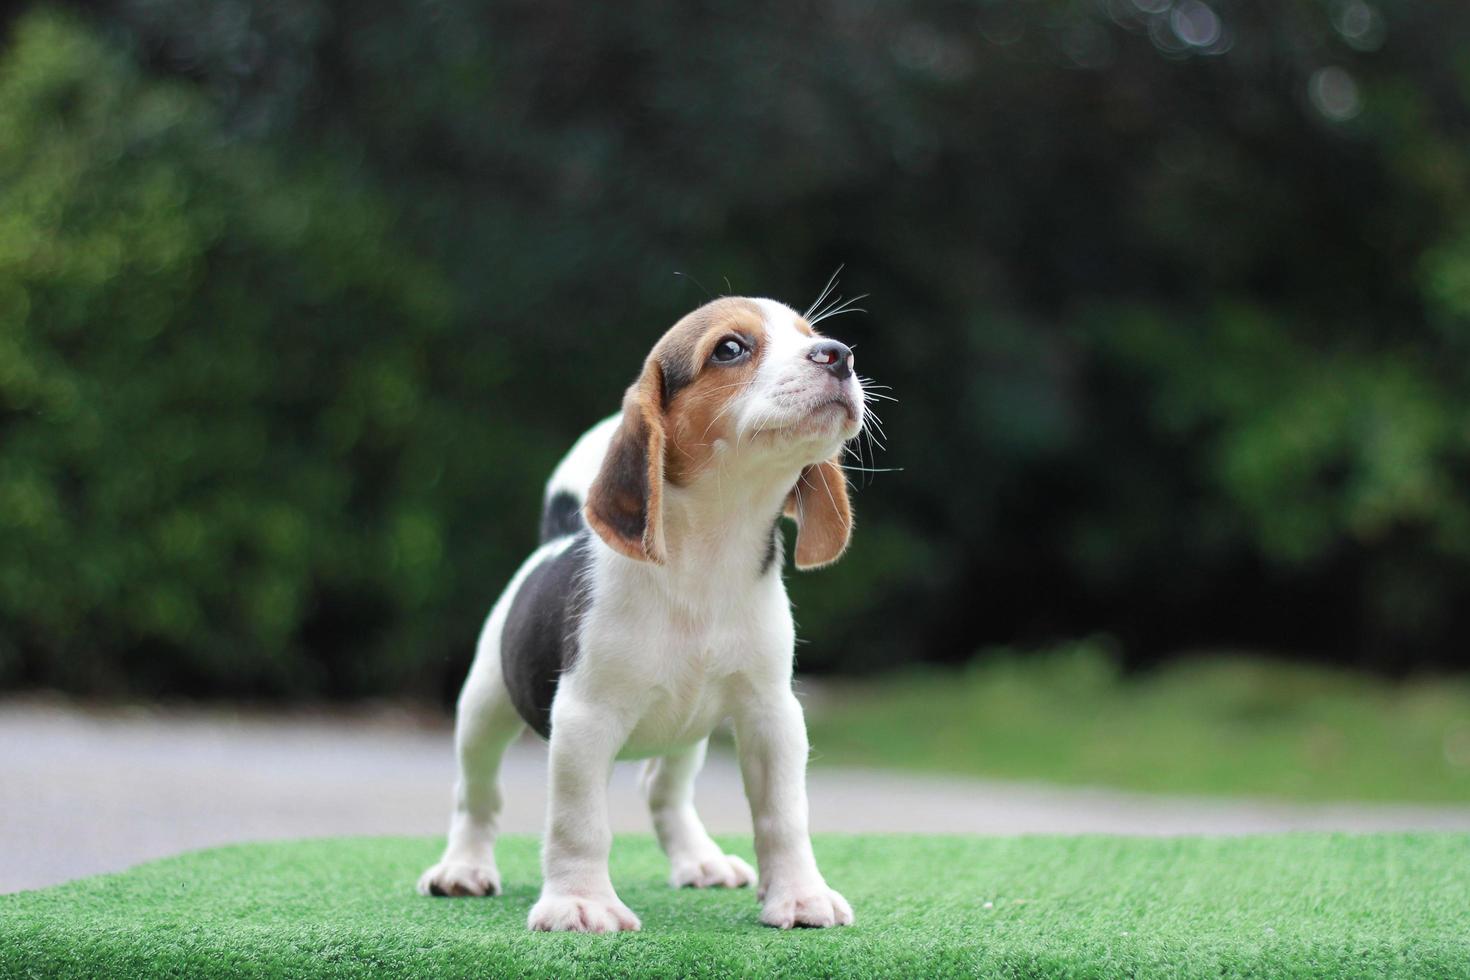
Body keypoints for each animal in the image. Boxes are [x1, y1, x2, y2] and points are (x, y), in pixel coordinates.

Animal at [417, 295, 858, 934]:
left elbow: (783, 814)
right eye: (731, 348)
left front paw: (800, 895)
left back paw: (699, 860)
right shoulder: (584, 718)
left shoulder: (772, 714)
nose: (839, 355)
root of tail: (559, 534)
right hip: (482, 710)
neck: (708, 560)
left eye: (811, 334)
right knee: (475, 798)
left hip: (688, 730)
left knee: (662, 791)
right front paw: (580, 902)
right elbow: (580, 823)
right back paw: (463, 868)